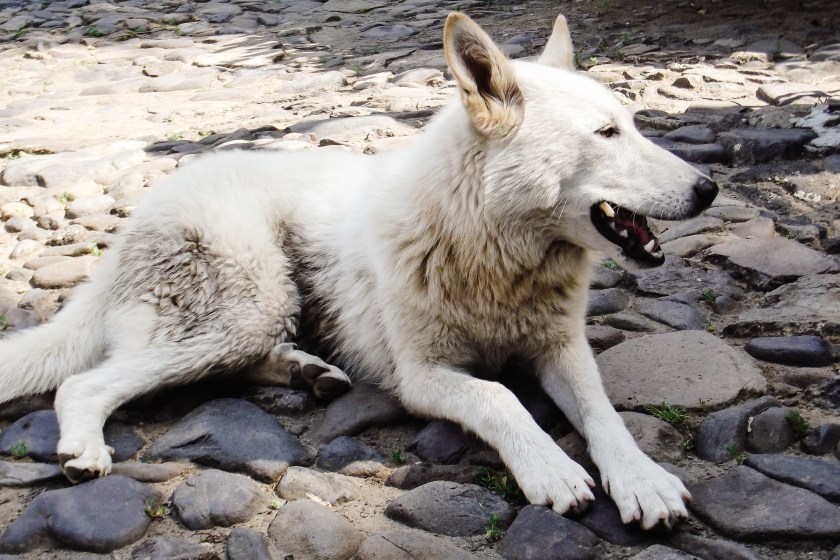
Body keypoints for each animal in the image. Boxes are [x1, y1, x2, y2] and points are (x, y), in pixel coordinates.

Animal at [0, 13, 716, 528]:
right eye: (606, 134)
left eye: (633, 125)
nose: (709, 189)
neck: (489, 249)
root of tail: (134, 222)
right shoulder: (425, 377)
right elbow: (502, 398)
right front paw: (550, 468)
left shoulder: (561, 351)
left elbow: (603, 414)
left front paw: (641, 479)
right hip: (244, 306)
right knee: (84, 384)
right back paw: (87, 448)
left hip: (256, 315)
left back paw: (305, 371)